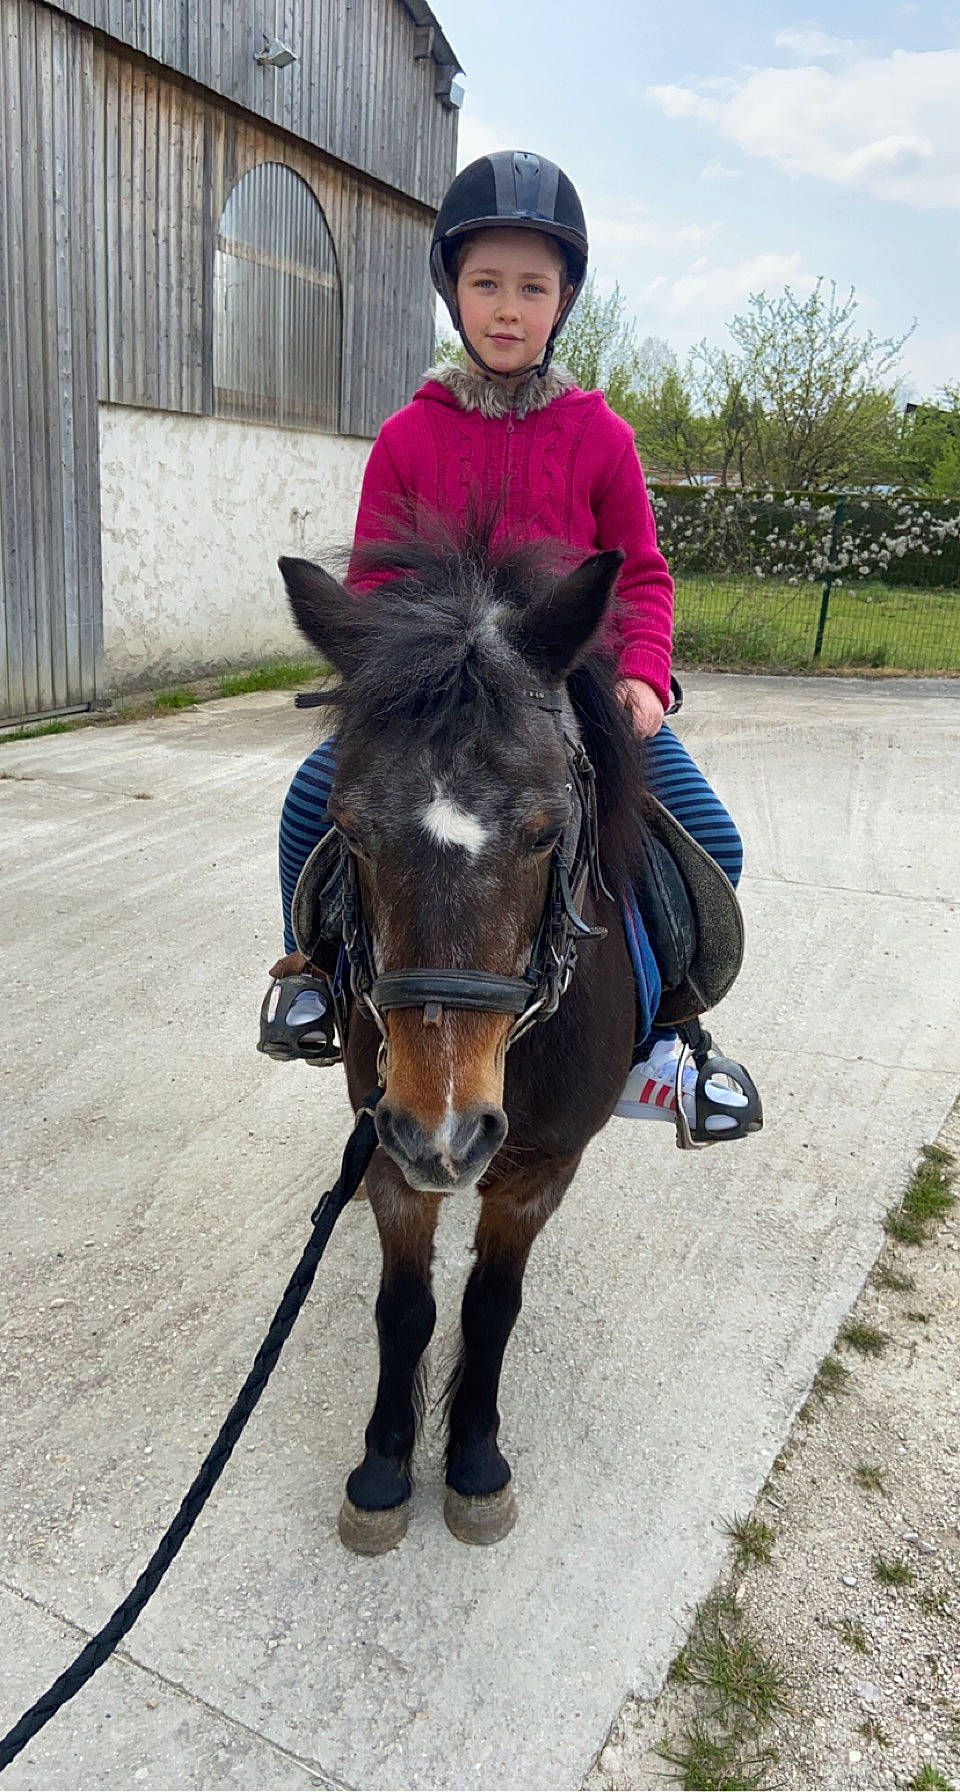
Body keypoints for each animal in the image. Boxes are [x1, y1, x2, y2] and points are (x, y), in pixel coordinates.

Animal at [279, 524, 652, 1553]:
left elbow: (490, 1306)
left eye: (546, 832)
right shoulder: (388, 1152)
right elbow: (406, 1309)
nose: (446, 1132)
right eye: (349, 829)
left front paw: (476, 1460)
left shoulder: (539, 1168)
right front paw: (383, 1468)